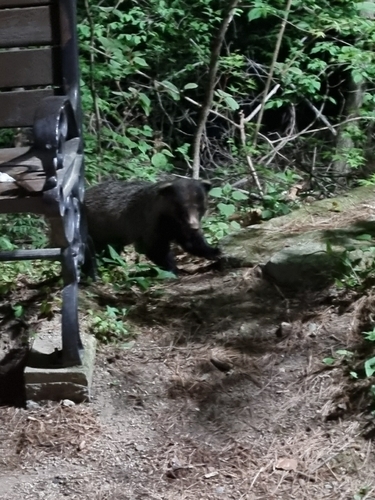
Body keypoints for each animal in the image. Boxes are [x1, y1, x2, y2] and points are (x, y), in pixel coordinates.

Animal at [84, 178, 220, 274]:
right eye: (182, 208)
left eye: (200, 207)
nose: (194, 226)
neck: (170, 219)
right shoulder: (151, 222)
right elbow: (155, 248)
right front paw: (173, 269)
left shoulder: (179, 227)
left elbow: (191, 242)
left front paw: (214, 251)